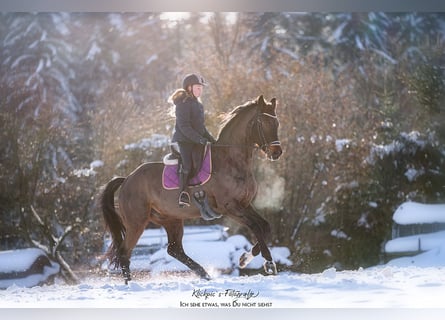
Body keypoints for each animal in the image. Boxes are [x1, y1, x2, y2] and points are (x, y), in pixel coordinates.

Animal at [100, 95, 280, 282]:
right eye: (263, 123)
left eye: (276, 123)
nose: (277, 152)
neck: (231, 161)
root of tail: (127, 179)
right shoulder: (230, 207)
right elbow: (256, 227)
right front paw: (268, 263)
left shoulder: (244, 204)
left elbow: (265, 226)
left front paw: (245, 258)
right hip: (136, 223)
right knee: (124, 252)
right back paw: (130, 284)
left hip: (171, 219)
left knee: (174, 250)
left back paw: (204, 274)